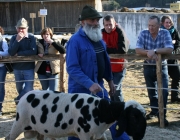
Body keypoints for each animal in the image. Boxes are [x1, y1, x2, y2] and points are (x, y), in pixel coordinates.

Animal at [5, 90, 147, 139]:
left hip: (38, 130)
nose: (141, 135)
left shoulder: (99, 135)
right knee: (8, 138)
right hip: (18, 124)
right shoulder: (84, 134)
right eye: (134, 116)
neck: (100, 110)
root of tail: (25, 96)